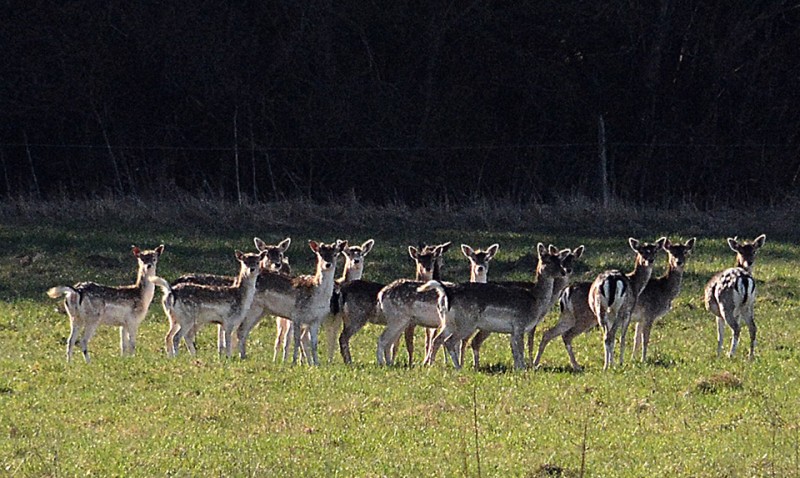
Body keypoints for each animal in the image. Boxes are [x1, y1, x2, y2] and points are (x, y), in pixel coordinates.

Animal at [416, 243, 564, 370]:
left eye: (560, 261)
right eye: (548, 261)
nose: (563, 272)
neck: (535, 300)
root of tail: (446, 292)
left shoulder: (513, 330)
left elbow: (515, 352)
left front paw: (518, 369)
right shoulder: (519, 324)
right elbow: (520, 351)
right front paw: (524, 369)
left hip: (447, 322)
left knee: (437, 339)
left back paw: (431, 366)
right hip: (466, 322)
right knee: (449, 341)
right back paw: (458, 368)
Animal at [588, 238, 664, 370]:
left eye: (655, 251)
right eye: (642, 251)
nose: (650, 260)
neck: (636, 285)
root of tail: (611, 280)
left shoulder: (610, 316)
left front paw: (611, 362)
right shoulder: (629, 312)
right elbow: (623, 338)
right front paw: (621, 362)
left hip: (599, 308)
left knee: (606, 336)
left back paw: (606, 366)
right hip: (621, 308)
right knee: (612, 335)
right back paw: (613, 365)